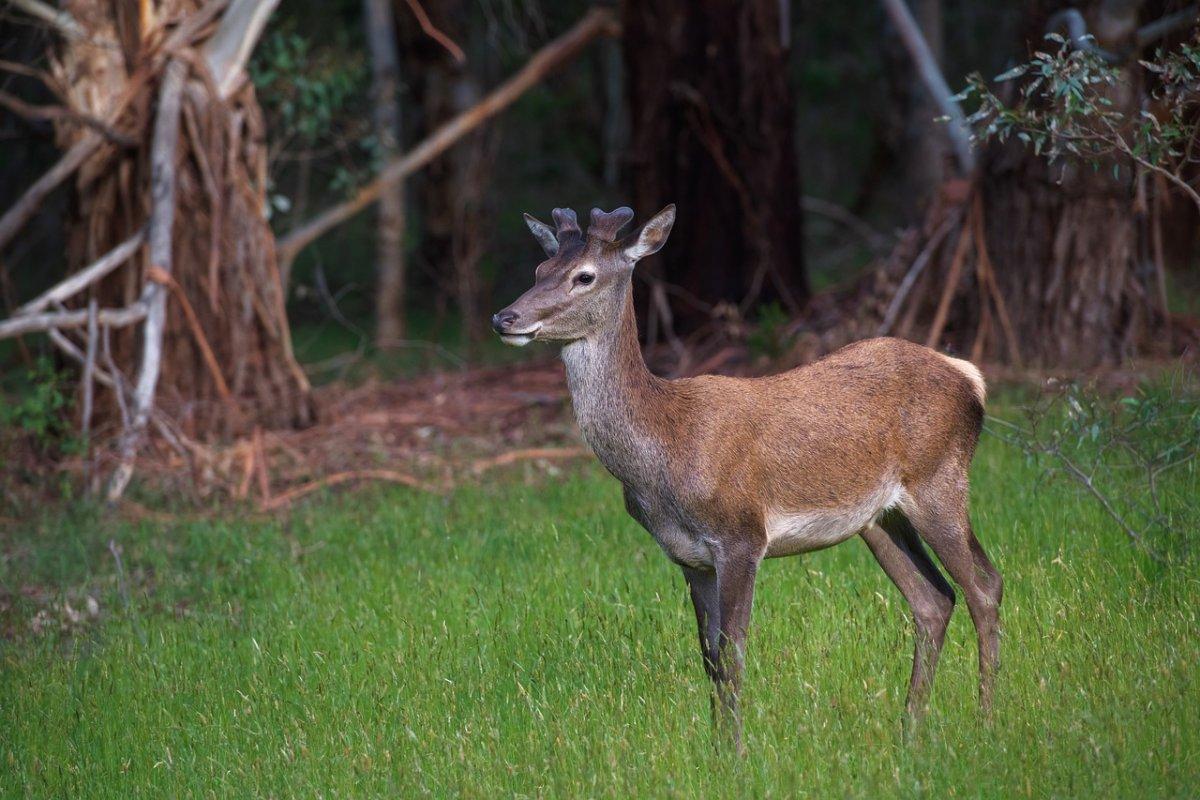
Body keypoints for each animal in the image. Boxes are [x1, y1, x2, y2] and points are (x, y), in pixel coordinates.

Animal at [487, 206, 1003, 753]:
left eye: (583, 276)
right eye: (540, 270)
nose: (505, 318)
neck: (663, 448)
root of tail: (971, 377)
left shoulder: (741, 535)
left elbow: (733, 649)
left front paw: (735, 752)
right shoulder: (689, 557)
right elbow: (708, 655)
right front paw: (715, 749)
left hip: (939, 480)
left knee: (984, 587)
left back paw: (986, 722)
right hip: (879, 519)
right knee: (933, 601)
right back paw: (910, 730)